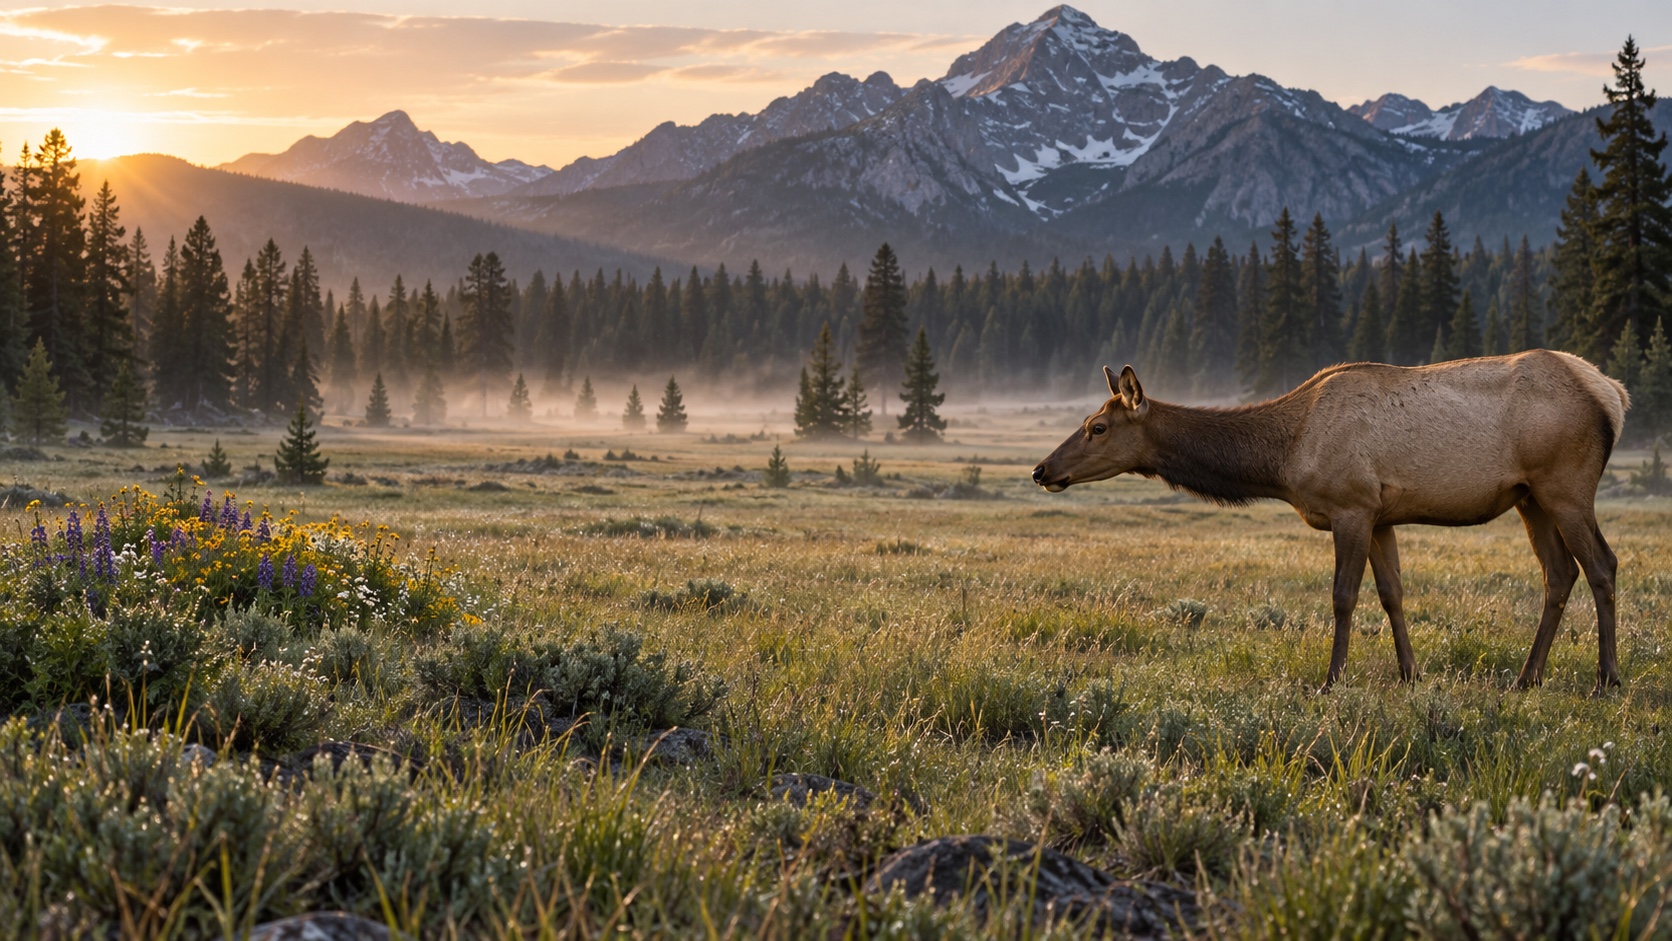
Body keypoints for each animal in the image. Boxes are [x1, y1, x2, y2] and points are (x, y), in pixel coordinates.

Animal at [1032, 351, 1630, 693]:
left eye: (1098, 427)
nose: (1041, 469)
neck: (1285, 457)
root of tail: (1614, 395)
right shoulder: (1382, 515)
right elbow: (1392, 594)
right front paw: (1411, 674)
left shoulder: (1352, 506)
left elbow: (1344, 597)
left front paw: (1331, 679)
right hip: (1530, 497)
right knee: (1559, 574)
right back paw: (1528, 677)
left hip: (1566, 485)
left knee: (1602, 564)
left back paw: (1606, 678)